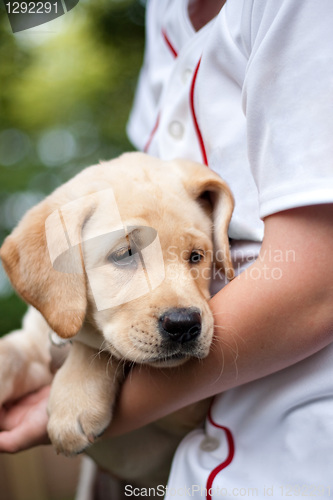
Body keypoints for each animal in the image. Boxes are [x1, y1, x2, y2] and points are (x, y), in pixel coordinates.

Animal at [0, 153, 233, 488]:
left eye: (196, 256)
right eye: (124, 254)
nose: (184, 324)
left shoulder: (193, 409)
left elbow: (100, 351)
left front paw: (74, 401)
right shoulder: (36, 340)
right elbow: (9, 352)